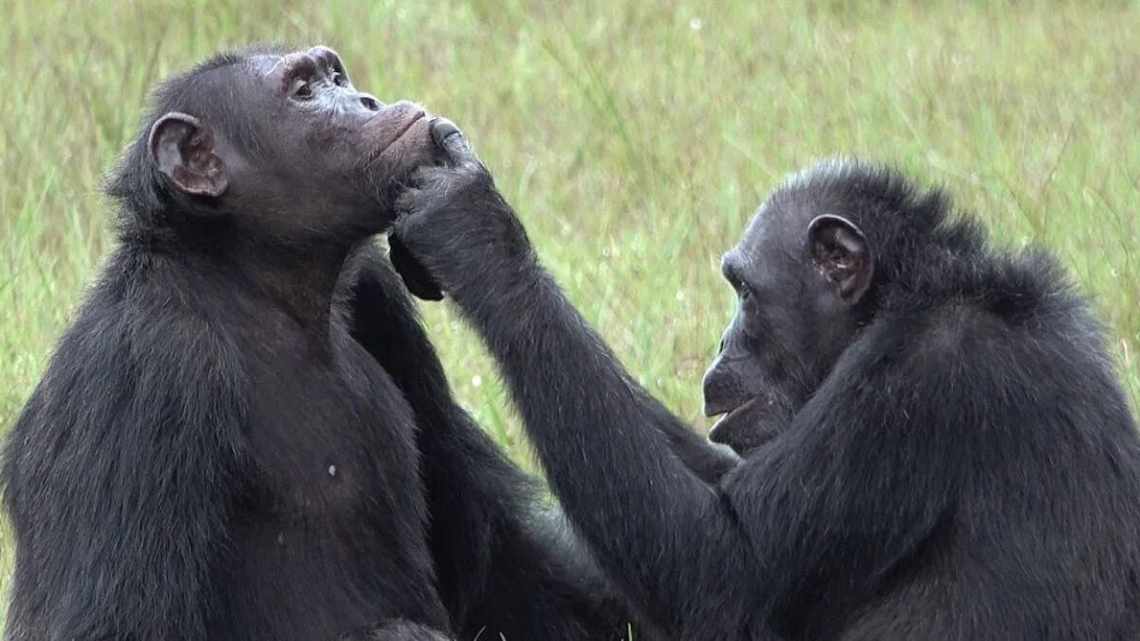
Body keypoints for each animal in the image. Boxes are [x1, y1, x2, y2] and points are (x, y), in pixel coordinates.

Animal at [0, 45, 642, 638]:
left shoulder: (378, 296)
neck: (258, 282)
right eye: (304, 92)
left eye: (336, 76)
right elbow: (115, 621)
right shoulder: (142, 372)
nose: (367, 101)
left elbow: (494, 558)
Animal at [392, 126, 1140, 638]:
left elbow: (726, 568)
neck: (906, 297)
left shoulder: (923, 379)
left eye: (745, 290)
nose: (723, 341)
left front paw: (475, 230)